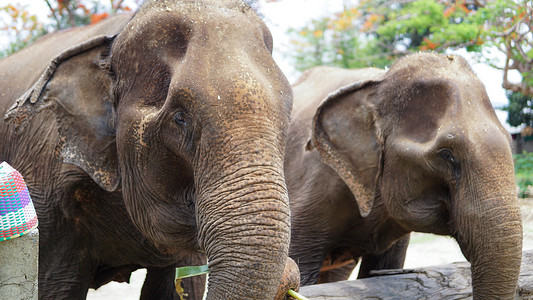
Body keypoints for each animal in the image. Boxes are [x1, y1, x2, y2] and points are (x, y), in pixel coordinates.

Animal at [0, 1, 300, 298]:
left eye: (287, 117)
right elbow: (57, 286)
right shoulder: (47, 196)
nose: (290, 272)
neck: (116, 37)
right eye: (180, 118)